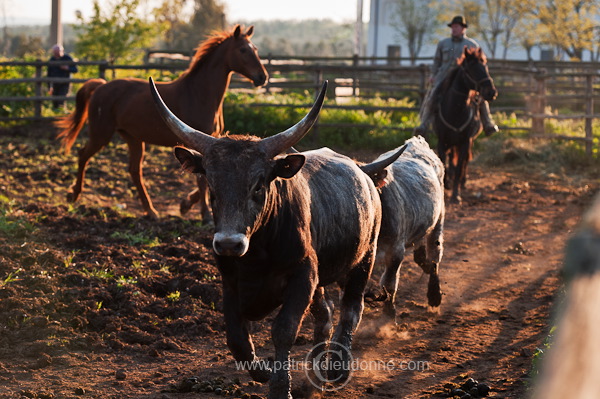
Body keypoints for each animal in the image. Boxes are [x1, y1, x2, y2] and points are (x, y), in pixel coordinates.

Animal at [55, 25, 268, 220]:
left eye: (256, 49)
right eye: (243, 50)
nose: (262, 77)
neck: (198, 94)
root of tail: (101, 86)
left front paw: (185, 205)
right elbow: (202, 179)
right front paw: (205, 214)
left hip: (132, 138)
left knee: (134, 171)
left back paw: (150, 211)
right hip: (101, 134)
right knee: (83, 155)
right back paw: (73, 195)